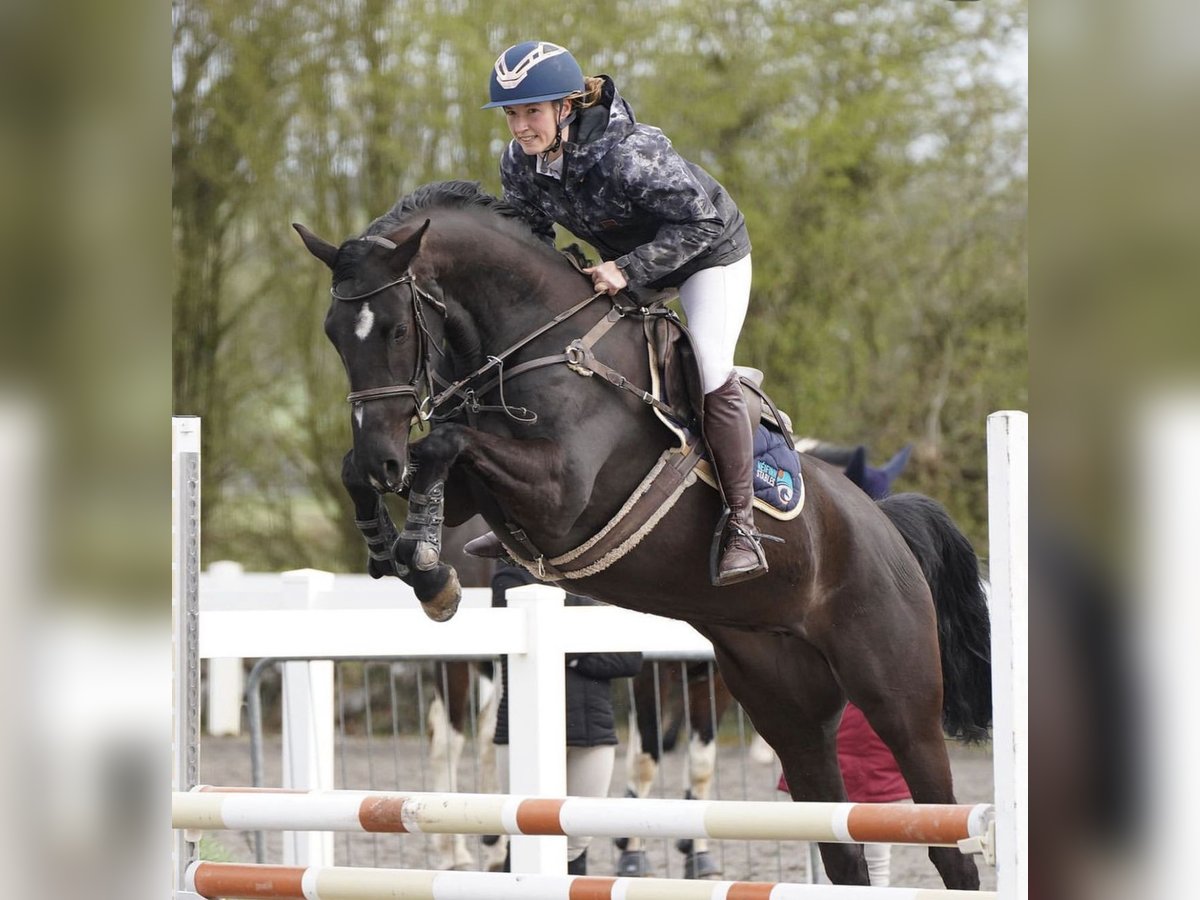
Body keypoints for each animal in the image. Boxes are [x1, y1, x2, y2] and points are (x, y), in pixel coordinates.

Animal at [624, 444, 912, 883]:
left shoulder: (714, 678)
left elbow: (702, 762)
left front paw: (697, 852)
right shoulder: (650, 668)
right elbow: (646, 757)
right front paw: (633, 852)